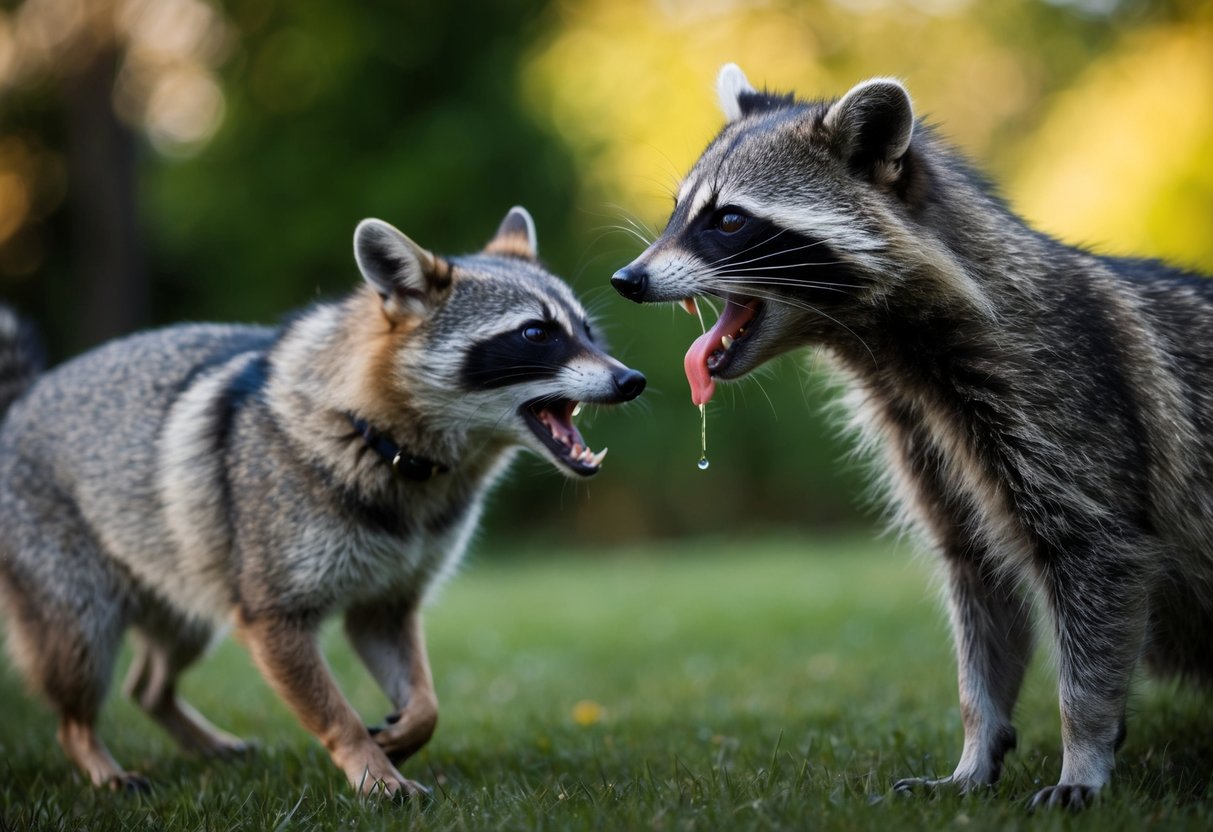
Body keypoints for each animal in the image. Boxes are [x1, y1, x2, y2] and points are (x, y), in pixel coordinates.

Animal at [0, 207, 645, 795]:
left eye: (587, 332)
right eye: (536, 333)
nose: (632, 380)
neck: (393, 450)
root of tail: (25, 398)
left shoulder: (388, 600)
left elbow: (426, 700)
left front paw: (406, 732)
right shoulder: (272, 611)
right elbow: (331, 709)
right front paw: (370, 769)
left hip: (190, 590)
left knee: (149, 686)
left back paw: (194, 735)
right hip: (83, 607)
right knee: (76, 699)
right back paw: (97, 760)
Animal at [612, 65, 1213, 808]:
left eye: (727, 220)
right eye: (677, 211)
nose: (626, 280)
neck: (893, 352)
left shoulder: (1065, 407)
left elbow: (1097, 561)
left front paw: (1084, 751)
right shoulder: (928, 442)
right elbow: (978, 586)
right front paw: (976, 750)